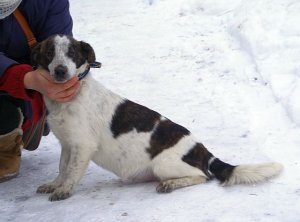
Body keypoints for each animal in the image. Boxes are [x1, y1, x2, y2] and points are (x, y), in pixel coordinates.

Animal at [31, 35, 284, 201]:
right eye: (49, 53)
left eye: (72, 53)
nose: (60, 71)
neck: (69, 98)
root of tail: (203, 151)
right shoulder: (67, 144)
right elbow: (62, 168)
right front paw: (55, 185)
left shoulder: (83, 146)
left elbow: (72, 172)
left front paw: (64, 190)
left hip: (164, 164)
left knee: (203, 176)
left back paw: (171, 184)